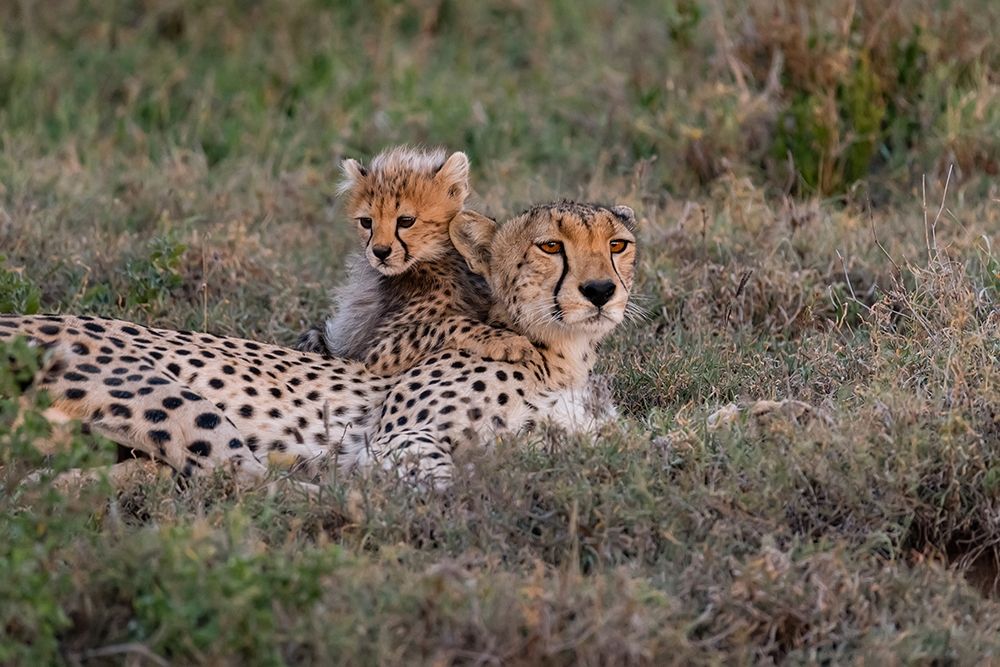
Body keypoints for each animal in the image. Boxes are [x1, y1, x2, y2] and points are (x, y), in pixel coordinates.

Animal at [1, 201, 638, 489]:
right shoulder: (397, 437)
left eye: (618, 244)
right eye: (550, 246)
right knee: (245, 482)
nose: (600, 290)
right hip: (161, 392)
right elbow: (437, 480)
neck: (563, 354)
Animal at [297, 145, 536, 374]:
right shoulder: (373, 352)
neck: (434, 263)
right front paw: (507, 341)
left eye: (406, 221)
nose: (380, 252)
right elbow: (448, 322)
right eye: (366, 222)